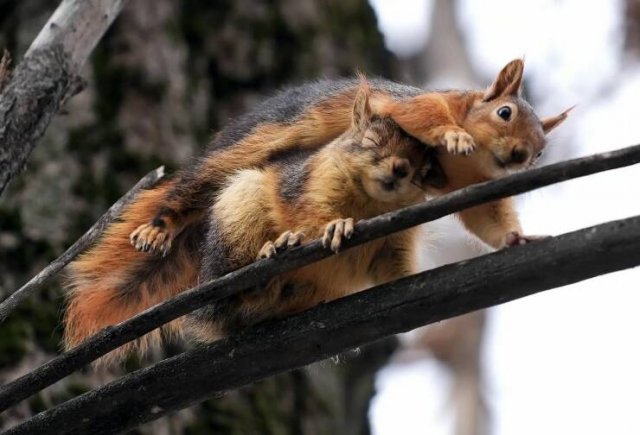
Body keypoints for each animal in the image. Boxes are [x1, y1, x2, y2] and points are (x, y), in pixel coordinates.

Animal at [62, 58, 568, 362]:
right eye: (504, 113)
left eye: (542, 150)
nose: (522, 156)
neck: (460, 167)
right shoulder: (413, 104)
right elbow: (426, 117)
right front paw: (453, 133)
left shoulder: (475, 185)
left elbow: (486, 216)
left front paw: (515, 237)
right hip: (235, 160)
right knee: (193, 192)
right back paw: (163, 228)